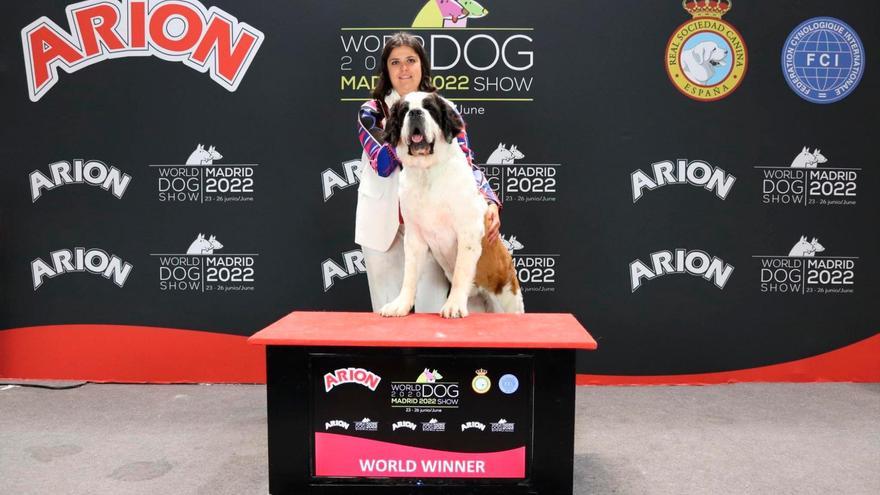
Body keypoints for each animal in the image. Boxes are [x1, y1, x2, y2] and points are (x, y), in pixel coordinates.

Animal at [378, 91, 524, 320]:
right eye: (404, 111)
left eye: (430, 108)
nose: (416, 112)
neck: (427, 172)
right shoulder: (414, 237)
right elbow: (409, 275)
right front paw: (400, 305)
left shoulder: (467, 231)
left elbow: (461, 272)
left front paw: (453, 305)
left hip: (509, 298)